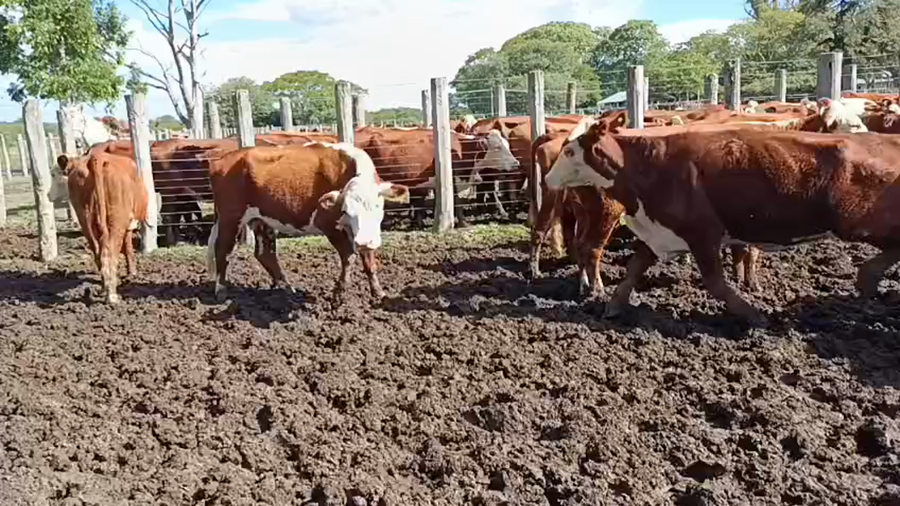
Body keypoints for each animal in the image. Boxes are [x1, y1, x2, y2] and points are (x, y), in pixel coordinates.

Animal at [49, 151, 149, 304]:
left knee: (98, 253)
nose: (48, 195)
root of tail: (95, 157)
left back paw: (104, 288)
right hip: (116, 219)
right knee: (110, 253)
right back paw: (112, 296)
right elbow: (128, 249)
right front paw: (132, 273)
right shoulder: (129, 224)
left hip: (84, 218)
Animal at [206, 142, 409, 305]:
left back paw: (287, 289)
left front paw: (378, 293)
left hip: (261, 220)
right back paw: (221, 291)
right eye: (346, 210)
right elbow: (348, 256)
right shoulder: (329, 224)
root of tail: (223, 160)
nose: (366, 241)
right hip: (231, 217)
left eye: (378, 206)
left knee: (265, 254)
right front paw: (338, 295)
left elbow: (368, 261)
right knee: (222, 250)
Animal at [545, 110, 900, 324]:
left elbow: (716, 282)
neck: (647, 169)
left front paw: (754, 315)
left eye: (570, 152)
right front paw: (613, 306)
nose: (548, 178)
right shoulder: (660, 232)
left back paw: (867, 277)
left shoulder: (702, 233)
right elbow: (633, 269)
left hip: (858, 223)